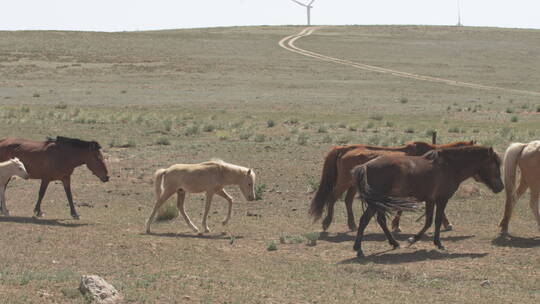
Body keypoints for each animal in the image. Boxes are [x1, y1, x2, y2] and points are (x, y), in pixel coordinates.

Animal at [310, 141, 474, 232]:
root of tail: (344, 148)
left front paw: (396, 225)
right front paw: (447, 224)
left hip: (353, 185)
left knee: (348, 200)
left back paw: (352, 225)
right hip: (344, 182)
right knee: (333, 197)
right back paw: (326, 223)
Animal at [352, 146, 504, 258]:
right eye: (495, 165)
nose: (501, 187)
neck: (450, 166)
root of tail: (366, 166)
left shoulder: (430, 200)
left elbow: (430, 221)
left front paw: (425, 241)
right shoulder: (442, 199)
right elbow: (435, 221)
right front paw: (425, 241)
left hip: (378, 202)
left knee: (379, 220)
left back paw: (393, 243)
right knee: (365, 220)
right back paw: (359, 249)